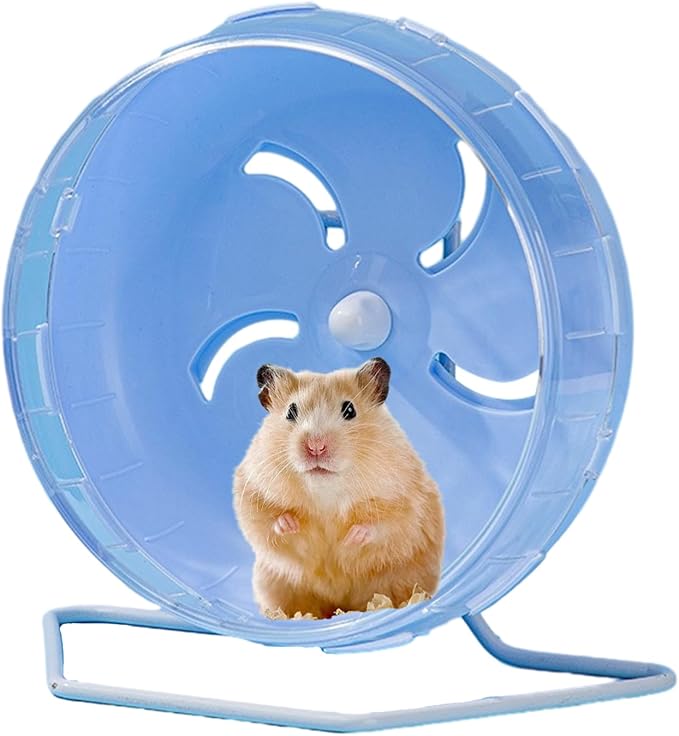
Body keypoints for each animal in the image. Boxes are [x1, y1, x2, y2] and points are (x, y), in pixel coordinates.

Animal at [232, 357, 445, 619]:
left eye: (349, 410)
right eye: (291, 411)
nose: (316, 447)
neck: (326, 490)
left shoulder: (406, 498)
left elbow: (387, 524)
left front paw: (351, 538)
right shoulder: (250, 487)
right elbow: (262, 519)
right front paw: (290, 524)